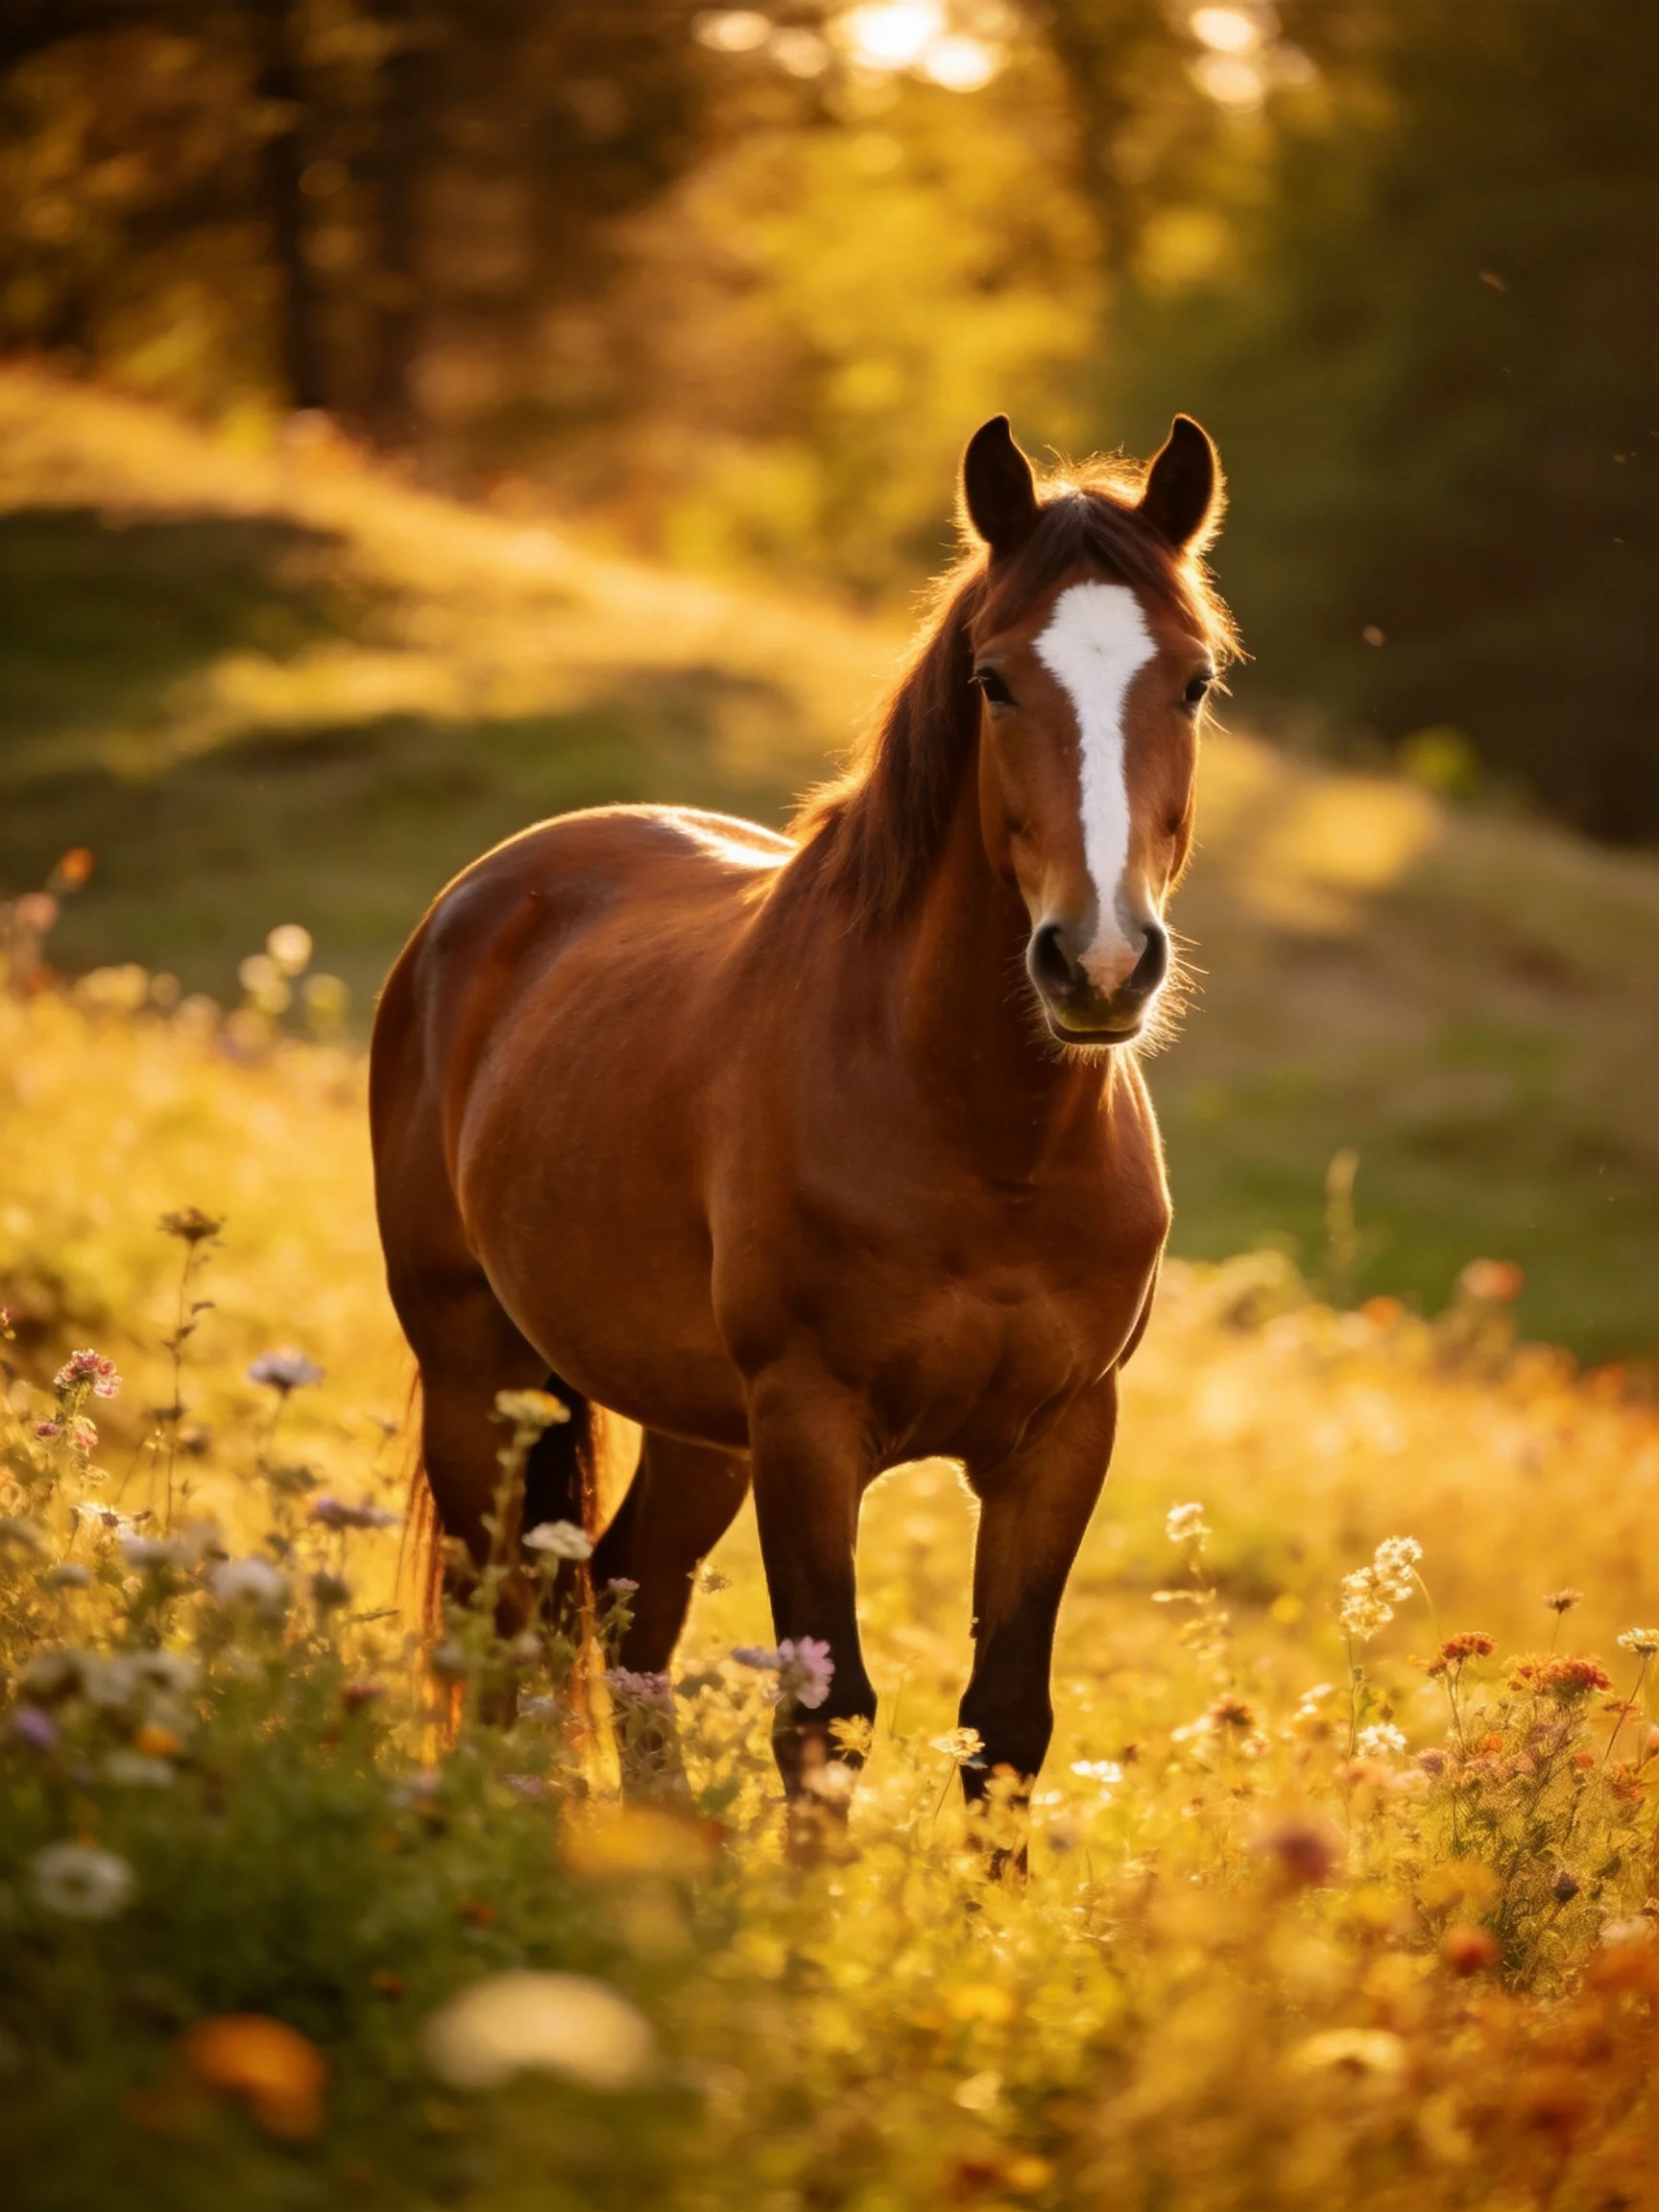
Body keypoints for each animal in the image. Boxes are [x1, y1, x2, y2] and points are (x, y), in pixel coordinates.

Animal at [370, 412, 1235, 1820]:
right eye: (996, 680)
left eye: (1195, 682)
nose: (1099, 965)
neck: (987, 1144)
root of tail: (488, 893)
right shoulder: (808, 1426)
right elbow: (827, 1717)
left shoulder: (1061, 1438)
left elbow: (1005, 1725)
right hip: (476, 1371)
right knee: (502, 1611)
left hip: (692, 1425)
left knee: (626, 1595)